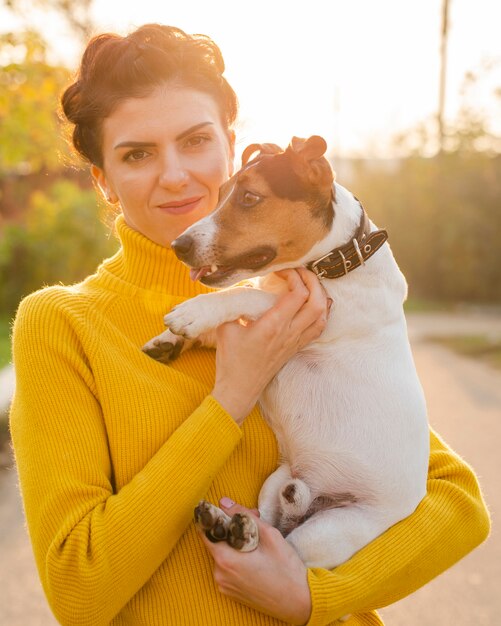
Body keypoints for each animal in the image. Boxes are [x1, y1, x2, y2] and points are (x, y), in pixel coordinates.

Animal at [143, 134, 428, 568]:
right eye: (222, 194)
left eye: (249, 197)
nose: (179, 245)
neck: (335, 261)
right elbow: (236, 309)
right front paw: (170, 340)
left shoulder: (321, 318)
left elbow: (245, 295)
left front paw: (193, 312)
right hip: (277, 482)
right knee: (268, 524)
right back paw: (229, 525)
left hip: (328, 533)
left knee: (285, 551)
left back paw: (238, 534)